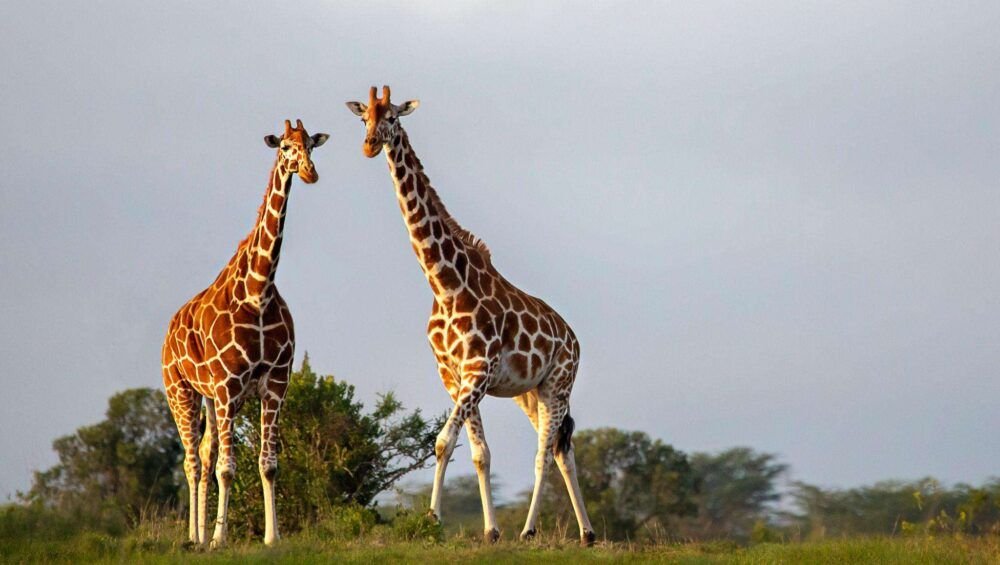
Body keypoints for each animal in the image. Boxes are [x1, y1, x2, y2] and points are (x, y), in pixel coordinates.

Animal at [161, 119, 328, 548]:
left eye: (311, 146)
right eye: (285, 146)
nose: (310, 173)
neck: (259, 290)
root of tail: (168, 331)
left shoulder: (275, 382)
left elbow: (267, 463)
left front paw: (273, 537)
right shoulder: (228, 385)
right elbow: (227, 467)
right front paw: (221, 538)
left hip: (209, 398)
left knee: (204, 453)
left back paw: (202, 534)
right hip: (181, 391)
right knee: (192, 461)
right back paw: (195, 537)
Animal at [346, 86, 592, 544]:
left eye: (392, 116)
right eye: (363, 117)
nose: (369, 145)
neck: (444, 285)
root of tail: (573, 338)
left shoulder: (477, 372)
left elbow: (444, 442)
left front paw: (432, 520)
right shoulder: (453, 376)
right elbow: (479, 453)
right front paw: (490, 531)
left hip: (558, 384)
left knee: (545, 453)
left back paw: (529, 531)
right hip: (529, 393)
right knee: (562, 449)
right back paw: (587, 533)